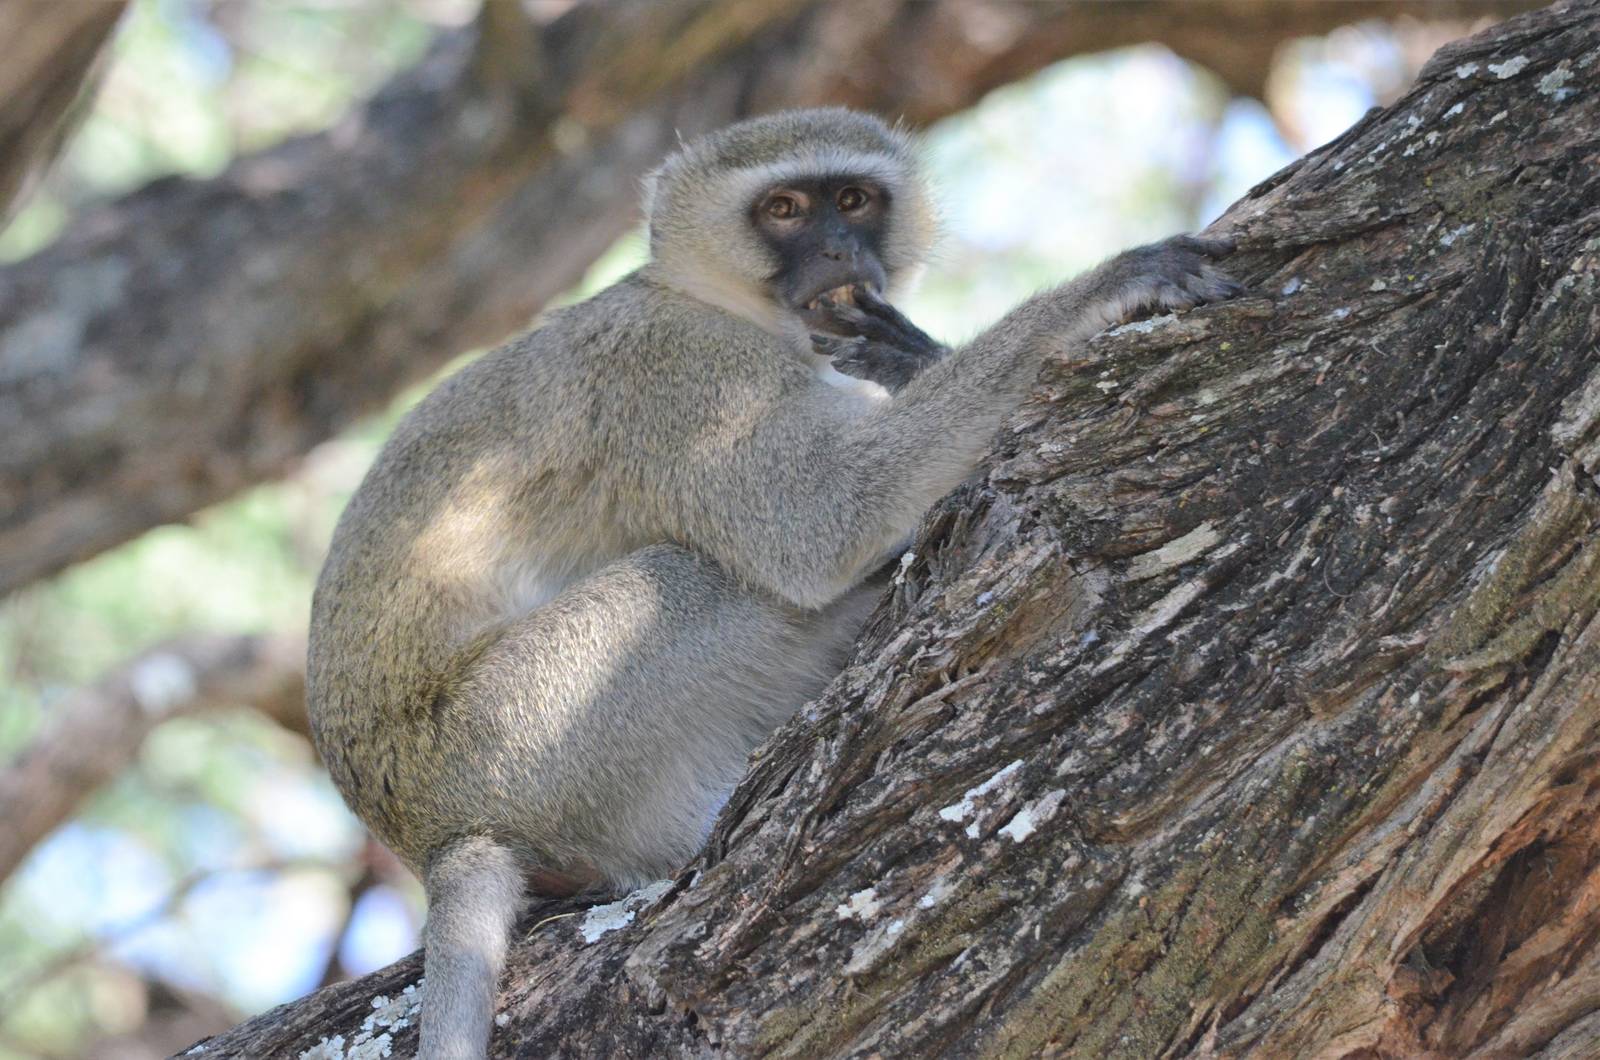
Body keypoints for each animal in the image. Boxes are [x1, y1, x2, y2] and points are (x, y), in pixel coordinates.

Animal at [306, 107, 1240, 1059]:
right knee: (688, 580)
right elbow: (817, 524)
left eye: (854, 200)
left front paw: (906, 350)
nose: (836, 251)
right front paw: (1101, 289)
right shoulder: (684, 377)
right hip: (524, 735)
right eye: (785, 209)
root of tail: (435, 833)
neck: (707, 299)